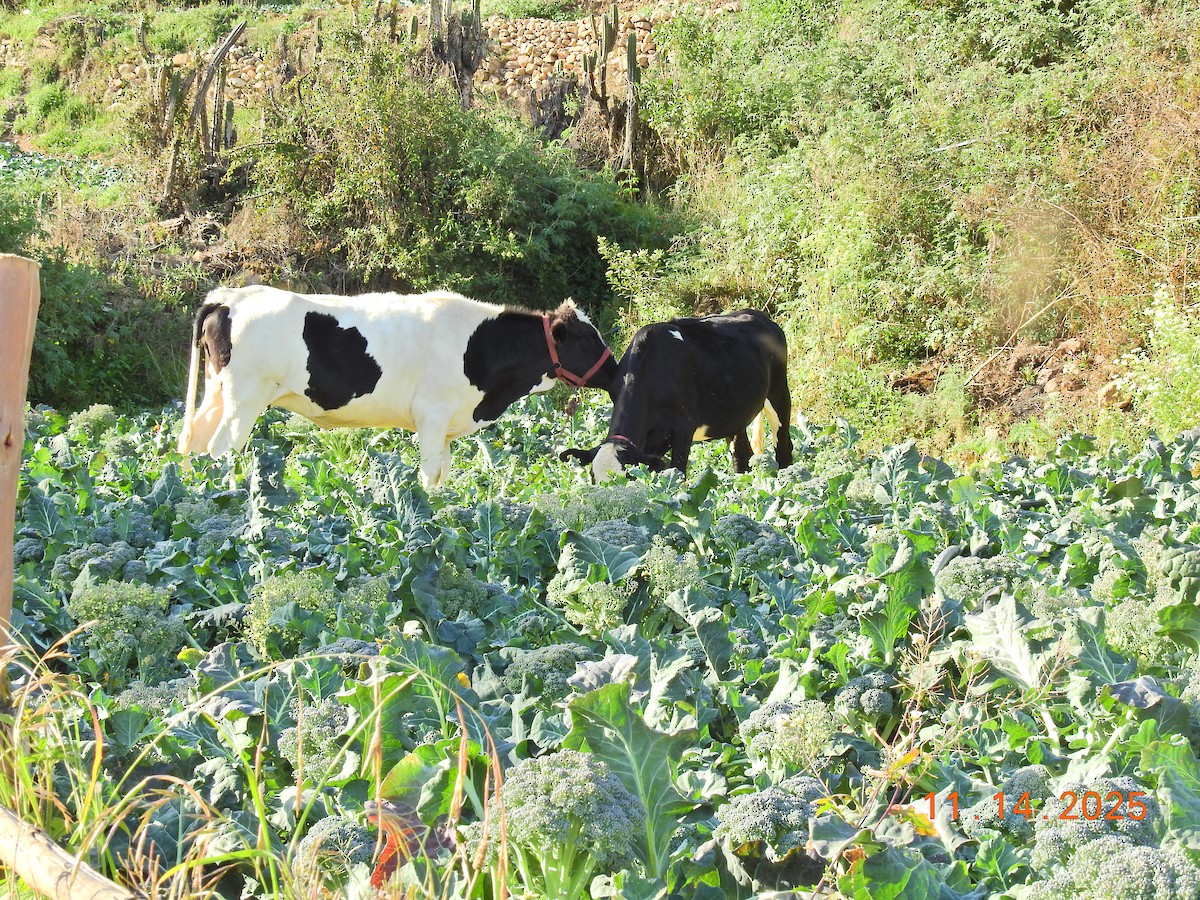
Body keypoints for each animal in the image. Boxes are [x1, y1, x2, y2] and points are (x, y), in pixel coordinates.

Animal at [177, 285, 618, 488]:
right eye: (586, 339)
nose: (616, 371)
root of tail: (231, 296)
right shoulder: (431, 416)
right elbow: (428, 475)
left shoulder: (446, 427)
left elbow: (442, 476)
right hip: (245, 398)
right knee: (221, 450)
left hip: (217, 394)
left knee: (195, 446)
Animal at [560, 309, 794, 481]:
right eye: (593, 479)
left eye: (627, 478)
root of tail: (760, 316)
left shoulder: (683, 428)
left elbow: (678, 473)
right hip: (735, 413)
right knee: (741, 454)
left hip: (779, 393)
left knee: (783, 446)